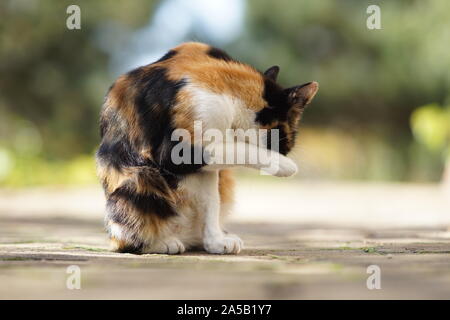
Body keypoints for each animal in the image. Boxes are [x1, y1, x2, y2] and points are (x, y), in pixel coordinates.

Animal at [96, 42, 318, 255]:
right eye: (290, 133)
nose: (288, 149)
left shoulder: (206, 169)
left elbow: (211, 202)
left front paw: (216, 242)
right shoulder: (175, 151)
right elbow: (236, 150)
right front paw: (285, 165)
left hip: (224, 181)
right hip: (141, 177)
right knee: (123, 242)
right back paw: (162, 243)